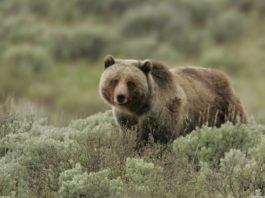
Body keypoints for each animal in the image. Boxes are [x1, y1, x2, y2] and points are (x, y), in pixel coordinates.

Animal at [98, 55, 246, 146]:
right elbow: (131, 136)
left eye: (130, 82)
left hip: (225, 108)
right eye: (114, 80)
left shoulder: (163, 113)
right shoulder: (126, 118)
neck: (139, 107)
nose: (120, 96)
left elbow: (160, 139)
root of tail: (224, 75)